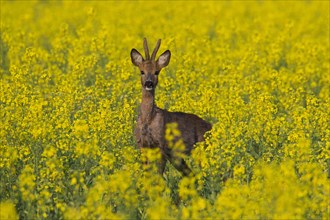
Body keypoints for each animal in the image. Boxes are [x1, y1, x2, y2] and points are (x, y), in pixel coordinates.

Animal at [130, 37, 213, 175]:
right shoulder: (142, 145)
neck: (148, 120)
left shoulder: (161, 145)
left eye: (156, 72)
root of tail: (211, 126)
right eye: (142, 71)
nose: (149, 83)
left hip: (201, 147)